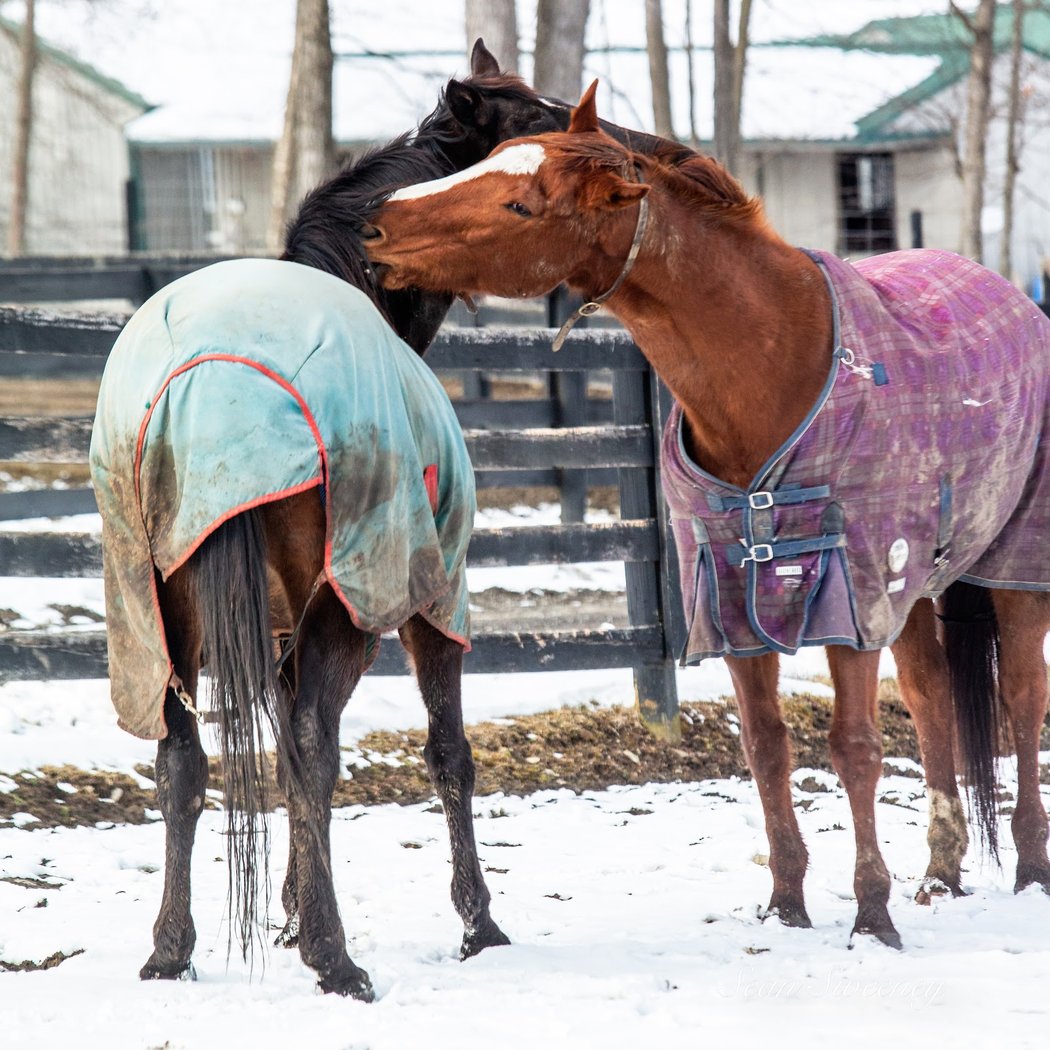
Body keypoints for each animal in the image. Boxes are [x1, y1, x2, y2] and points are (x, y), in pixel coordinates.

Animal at [88, 68, 566, 997]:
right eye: (534, 126)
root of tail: (208, 387)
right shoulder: (428, 601)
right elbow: (446, 753)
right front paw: (478, 924)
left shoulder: (277, 625)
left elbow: (273, 758)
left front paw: (286, 909)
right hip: (347, 604)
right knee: (314, 742)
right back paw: (334, 956)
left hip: (151, 612)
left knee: (182, 761)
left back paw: (172, 950)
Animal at [364, 82, 1050, 949]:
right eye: (488, 160)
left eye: (519, 202)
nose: (375, 223)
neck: (773, 362)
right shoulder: (730, 600)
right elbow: (765, 747)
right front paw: (787, 905)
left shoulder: (848, 595)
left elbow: (855, 749)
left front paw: (871, 915)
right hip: (916, 587)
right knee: (932, 699)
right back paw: (940, 872)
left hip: (1013, 573)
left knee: (1023, 698)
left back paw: (1030, 869)